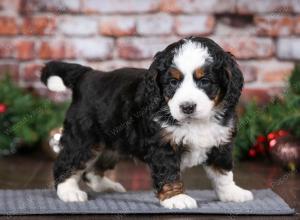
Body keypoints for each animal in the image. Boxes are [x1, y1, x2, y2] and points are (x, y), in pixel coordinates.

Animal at [41, 37, 253, 209]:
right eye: (173, 82)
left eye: (205, 81)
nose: (187, 107)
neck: (195, 122)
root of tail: (87, 75)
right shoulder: (163, 145)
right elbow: (169, 173)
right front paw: (176, 198)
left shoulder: (221, 141)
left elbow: (223, 171)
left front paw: (231, 193)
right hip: (83, 138)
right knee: (66, 163)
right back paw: (69, 191)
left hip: (113, 143)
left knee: (92, 170)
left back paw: (107, 186)